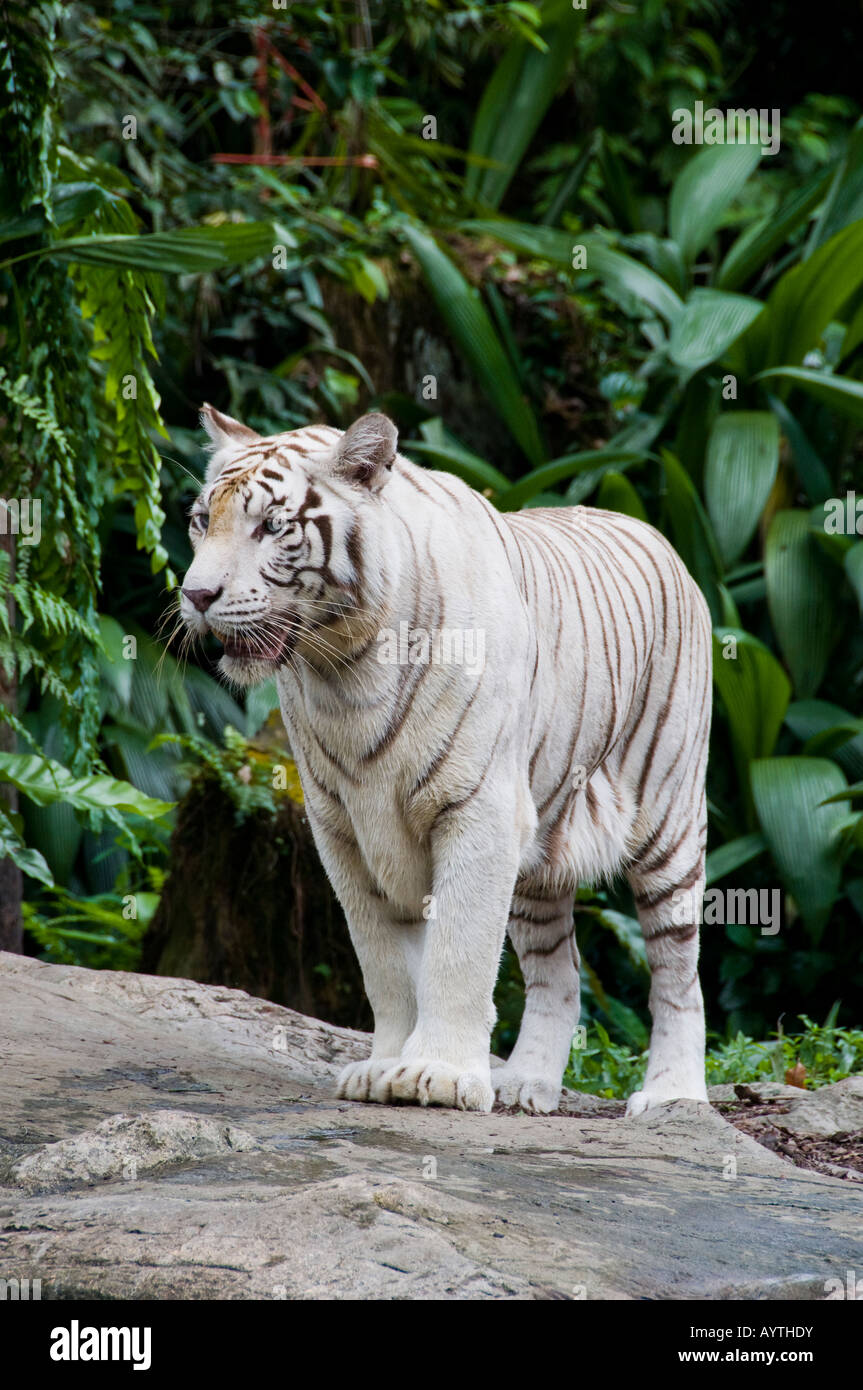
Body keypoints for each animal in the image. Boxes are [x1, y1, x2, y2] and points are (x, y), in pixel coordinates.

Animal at [177, 405, 711, 1117]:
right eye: (201, 520)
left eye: (271, 526)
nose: (197, 595)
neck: (343, 668)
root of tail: (653, 532)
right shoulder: (342, 830)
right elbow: (385, 964)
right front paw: (385, 1067)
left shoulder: (477, 812)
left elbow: (459, 952)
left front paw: (439, 1074)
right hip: (540, 854)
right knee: (558, 973)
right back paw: (526, 1084)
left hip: (666, 822)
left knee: (678, 970)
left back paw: (673, 1097)